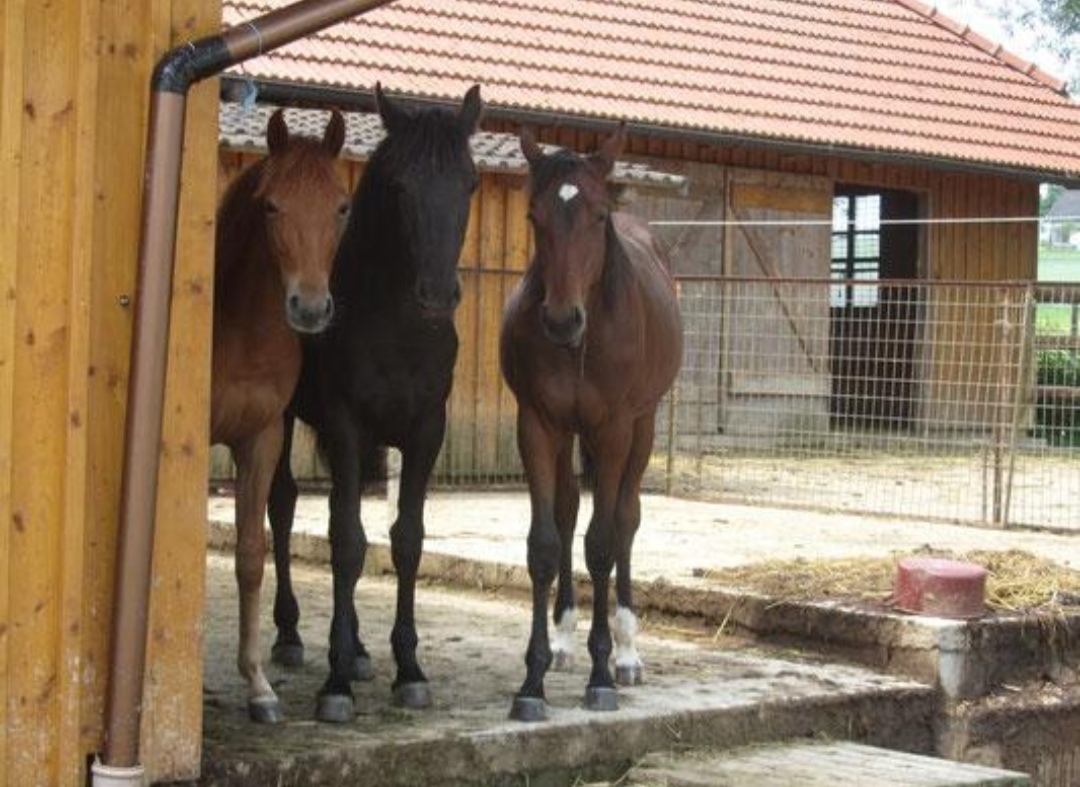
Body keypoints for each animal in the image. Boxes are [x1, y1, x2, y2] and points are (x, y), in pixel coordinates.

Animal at [267, 83, 482, 723]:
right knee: (282, 505)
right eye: (402, 186)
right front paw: (335, 683)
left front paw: (408, 669)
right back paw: (291, 636)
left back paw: (360, 649)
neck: (397, 325)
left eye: (469, 183)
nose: (436, 294)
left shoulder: (425, 432)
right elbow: (345, 543)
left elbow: (404, 540)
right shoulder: (345, 426)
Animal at [499, 124, 683, 721]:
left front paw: (602, 673)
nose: (561, 320)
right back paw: (562, 641)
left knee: (625, 520)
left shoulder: (615, 430)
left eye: (599, 216)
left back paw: (626, 652)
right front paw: (532, 680)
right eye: (533, 216)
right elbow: (545, 543)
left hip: (642, 428)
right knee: (567, 513)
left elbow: (602, 542)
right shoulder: (537, 426)